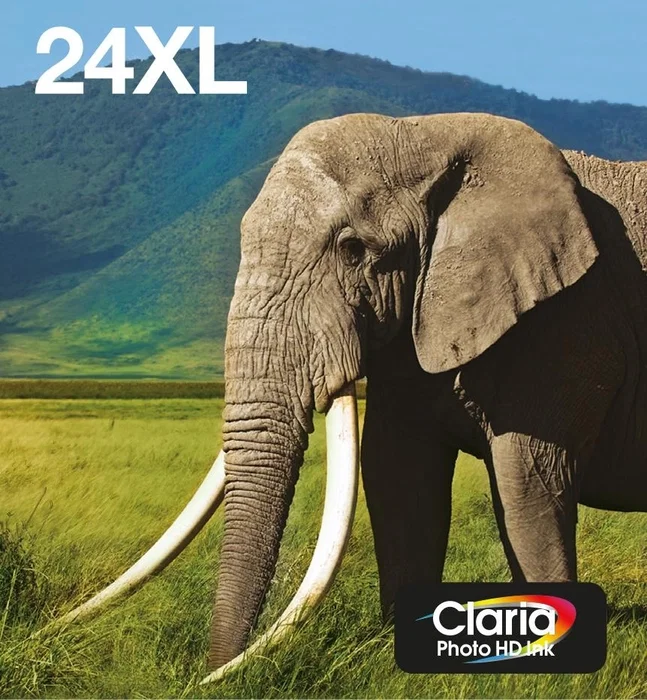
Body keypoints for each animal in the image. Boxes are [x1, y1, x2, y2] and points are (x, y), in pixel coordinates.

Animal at [59, 112, 647, 681]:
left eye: (352, 249)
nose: (205, 676)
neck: (427, 131)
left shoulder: (569, 318)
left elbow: (529, 481)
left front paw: (550, 669)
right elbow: (397, 475)